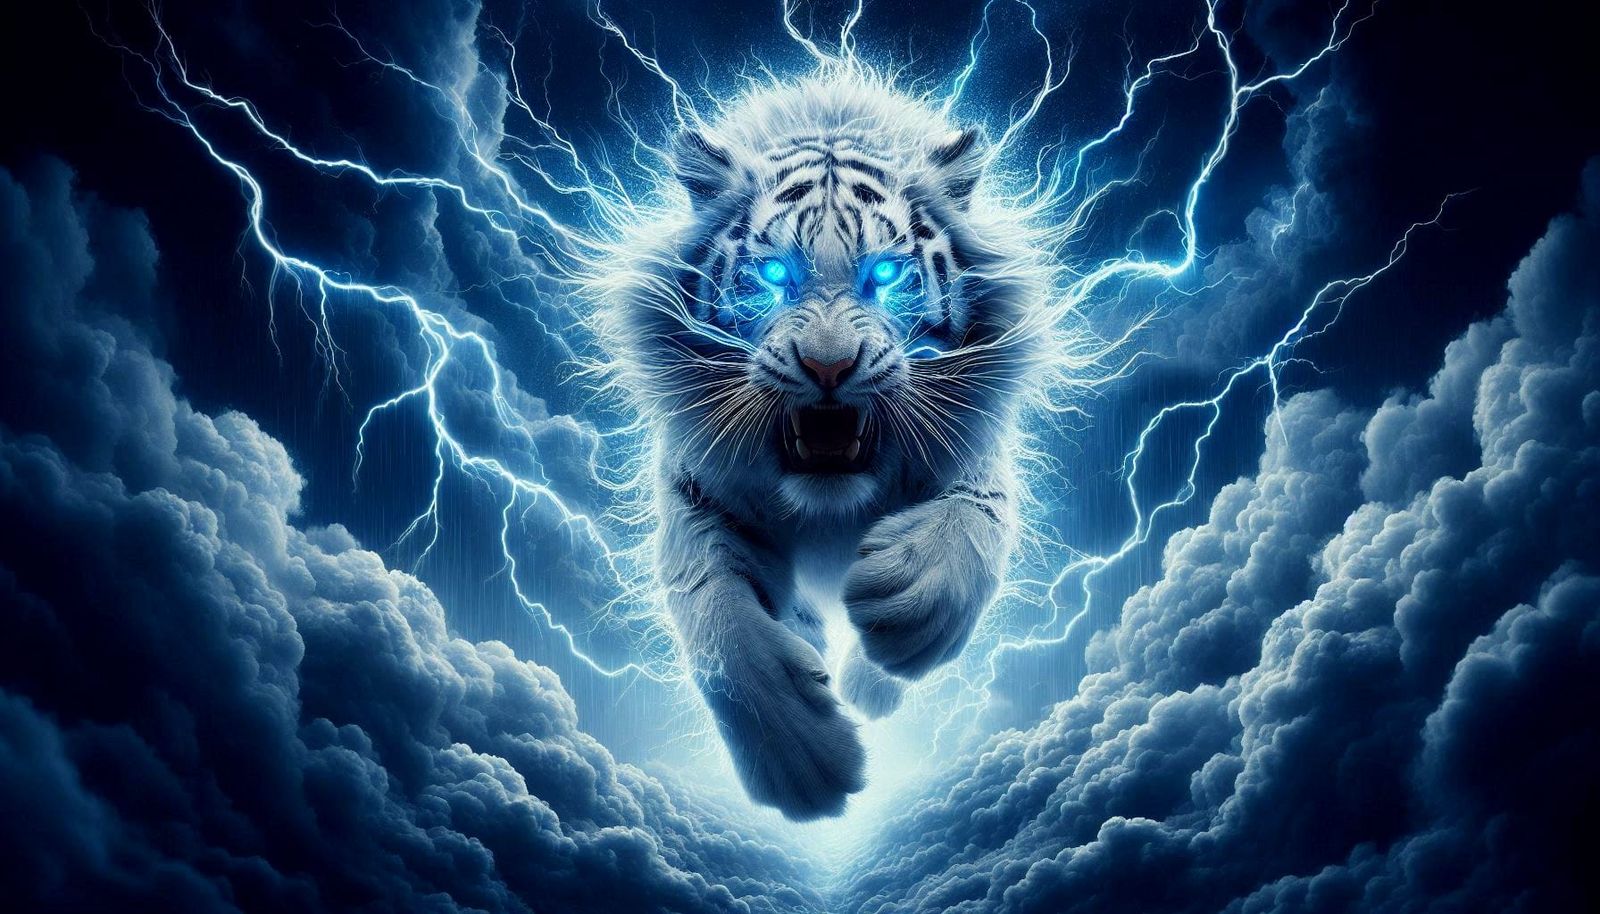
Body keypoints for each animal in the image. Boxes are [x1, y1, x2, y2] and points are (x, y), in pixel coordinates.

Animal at [596, 73, 1044, 820]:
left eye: (886, 275)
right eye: (776, 275)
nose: (829, 366)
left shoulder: (976, 451)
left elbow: (971, 526)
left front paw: (900, 614)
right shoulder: (697, 494)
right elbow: (720, 624)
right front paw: (803, 767)